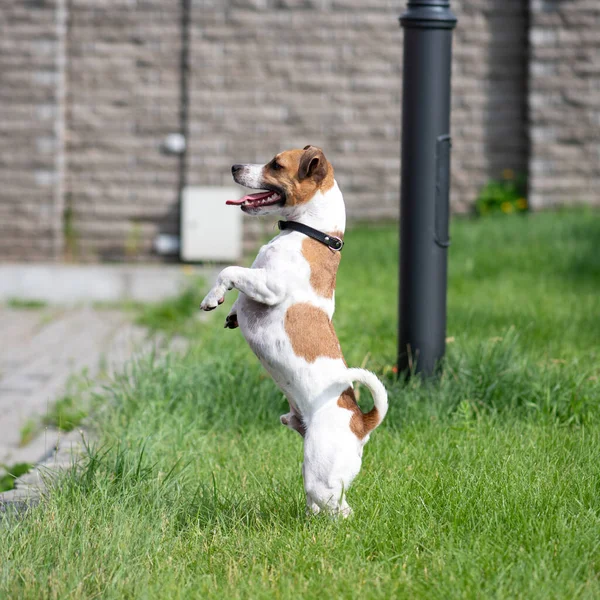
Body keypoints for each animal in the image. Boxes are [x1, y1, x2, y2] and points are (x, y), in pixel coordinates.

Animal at [202, 145, 390, 516]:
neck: (309, 232)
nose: (234, 166)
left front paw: (212, 297)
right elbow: (239, 293)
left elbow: (229, 271)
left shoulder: (269, 285)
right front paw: (231, 312)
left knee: (341, 510)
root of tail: (361, 423)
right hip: (312, 472)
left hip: (321, 473)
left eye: (276, 165)